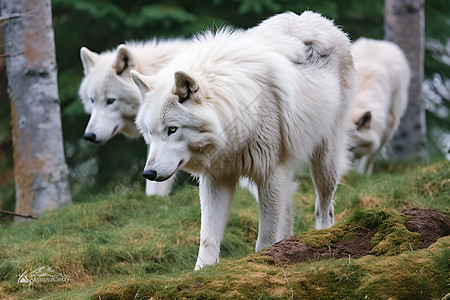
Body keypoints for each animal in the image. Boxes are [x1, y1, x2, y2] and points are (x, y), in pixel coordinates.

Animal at [132, 11, 356, 270]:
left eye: (172, 129)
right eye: (150, 133)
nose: (148, 173)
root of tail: (317, 19)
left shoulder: (270, 173)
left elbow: (265, 238)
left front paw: (263, 260)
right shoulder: (216, 178)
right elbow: (208, 238)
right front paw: (201, 272)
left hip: (324, 163)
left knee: (324, 209)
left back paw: (321, 235)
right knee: (289, 215)